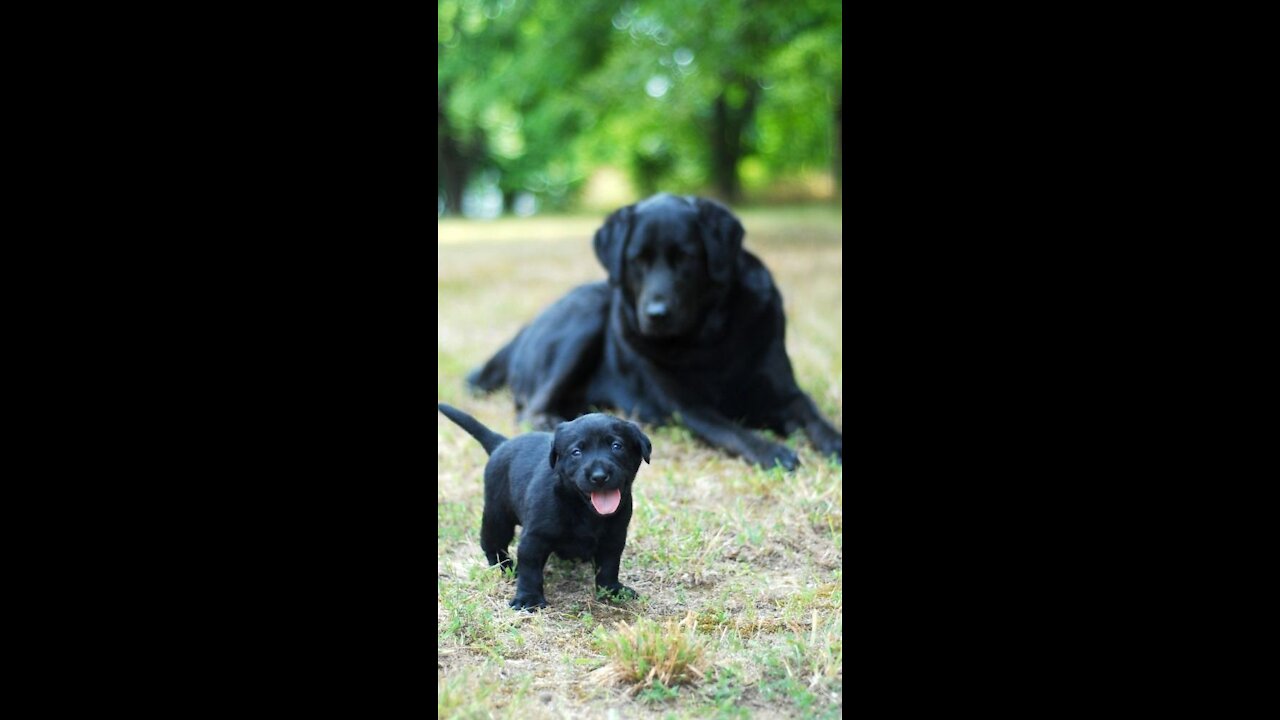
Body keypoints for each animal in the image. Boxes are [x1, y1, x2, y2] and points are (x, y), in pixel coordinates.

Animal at [437, 399, 650, 607]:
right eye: (576, 452)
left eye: (616, 446)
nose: (599, 476)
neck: (583, 509)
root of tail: (502, 444)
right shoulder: (534, 537)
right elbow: (530, 569)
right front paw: (528, 598)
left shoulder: (614, 537)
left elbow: (609, 566)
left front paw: (611, 591)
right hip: (497, 515)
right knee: (493, 545)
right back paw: (506, 567)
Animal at [468, 192, 839, 471]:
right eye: (637, 259)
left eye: (685, 257)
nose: (656, 315)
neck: (708, 337)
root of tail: (521, 332)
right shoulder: (688, 409)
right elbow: (735, 432)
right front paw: (771, 450)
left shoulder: (787, 393)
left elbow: (815, 417)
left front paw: (836, 444)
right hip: (588, 313)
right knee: (527, 411)